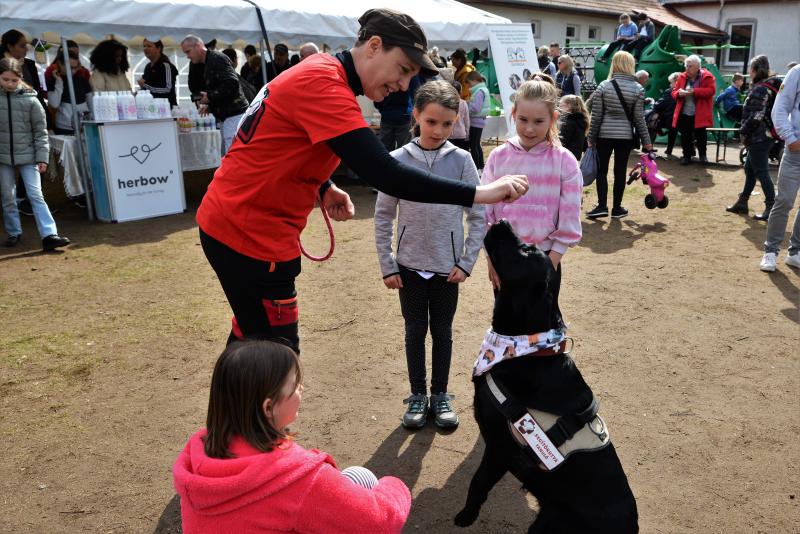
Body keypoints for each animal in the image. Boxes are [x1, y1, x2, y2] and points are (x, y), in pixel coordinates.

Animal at [456, 220, 636, 532]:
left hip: (548, 522)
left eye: (527, 250)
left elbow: (477, 484)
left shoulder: (499, 449)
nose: (502, 221)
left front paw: (465, 517)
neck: (526, 350)